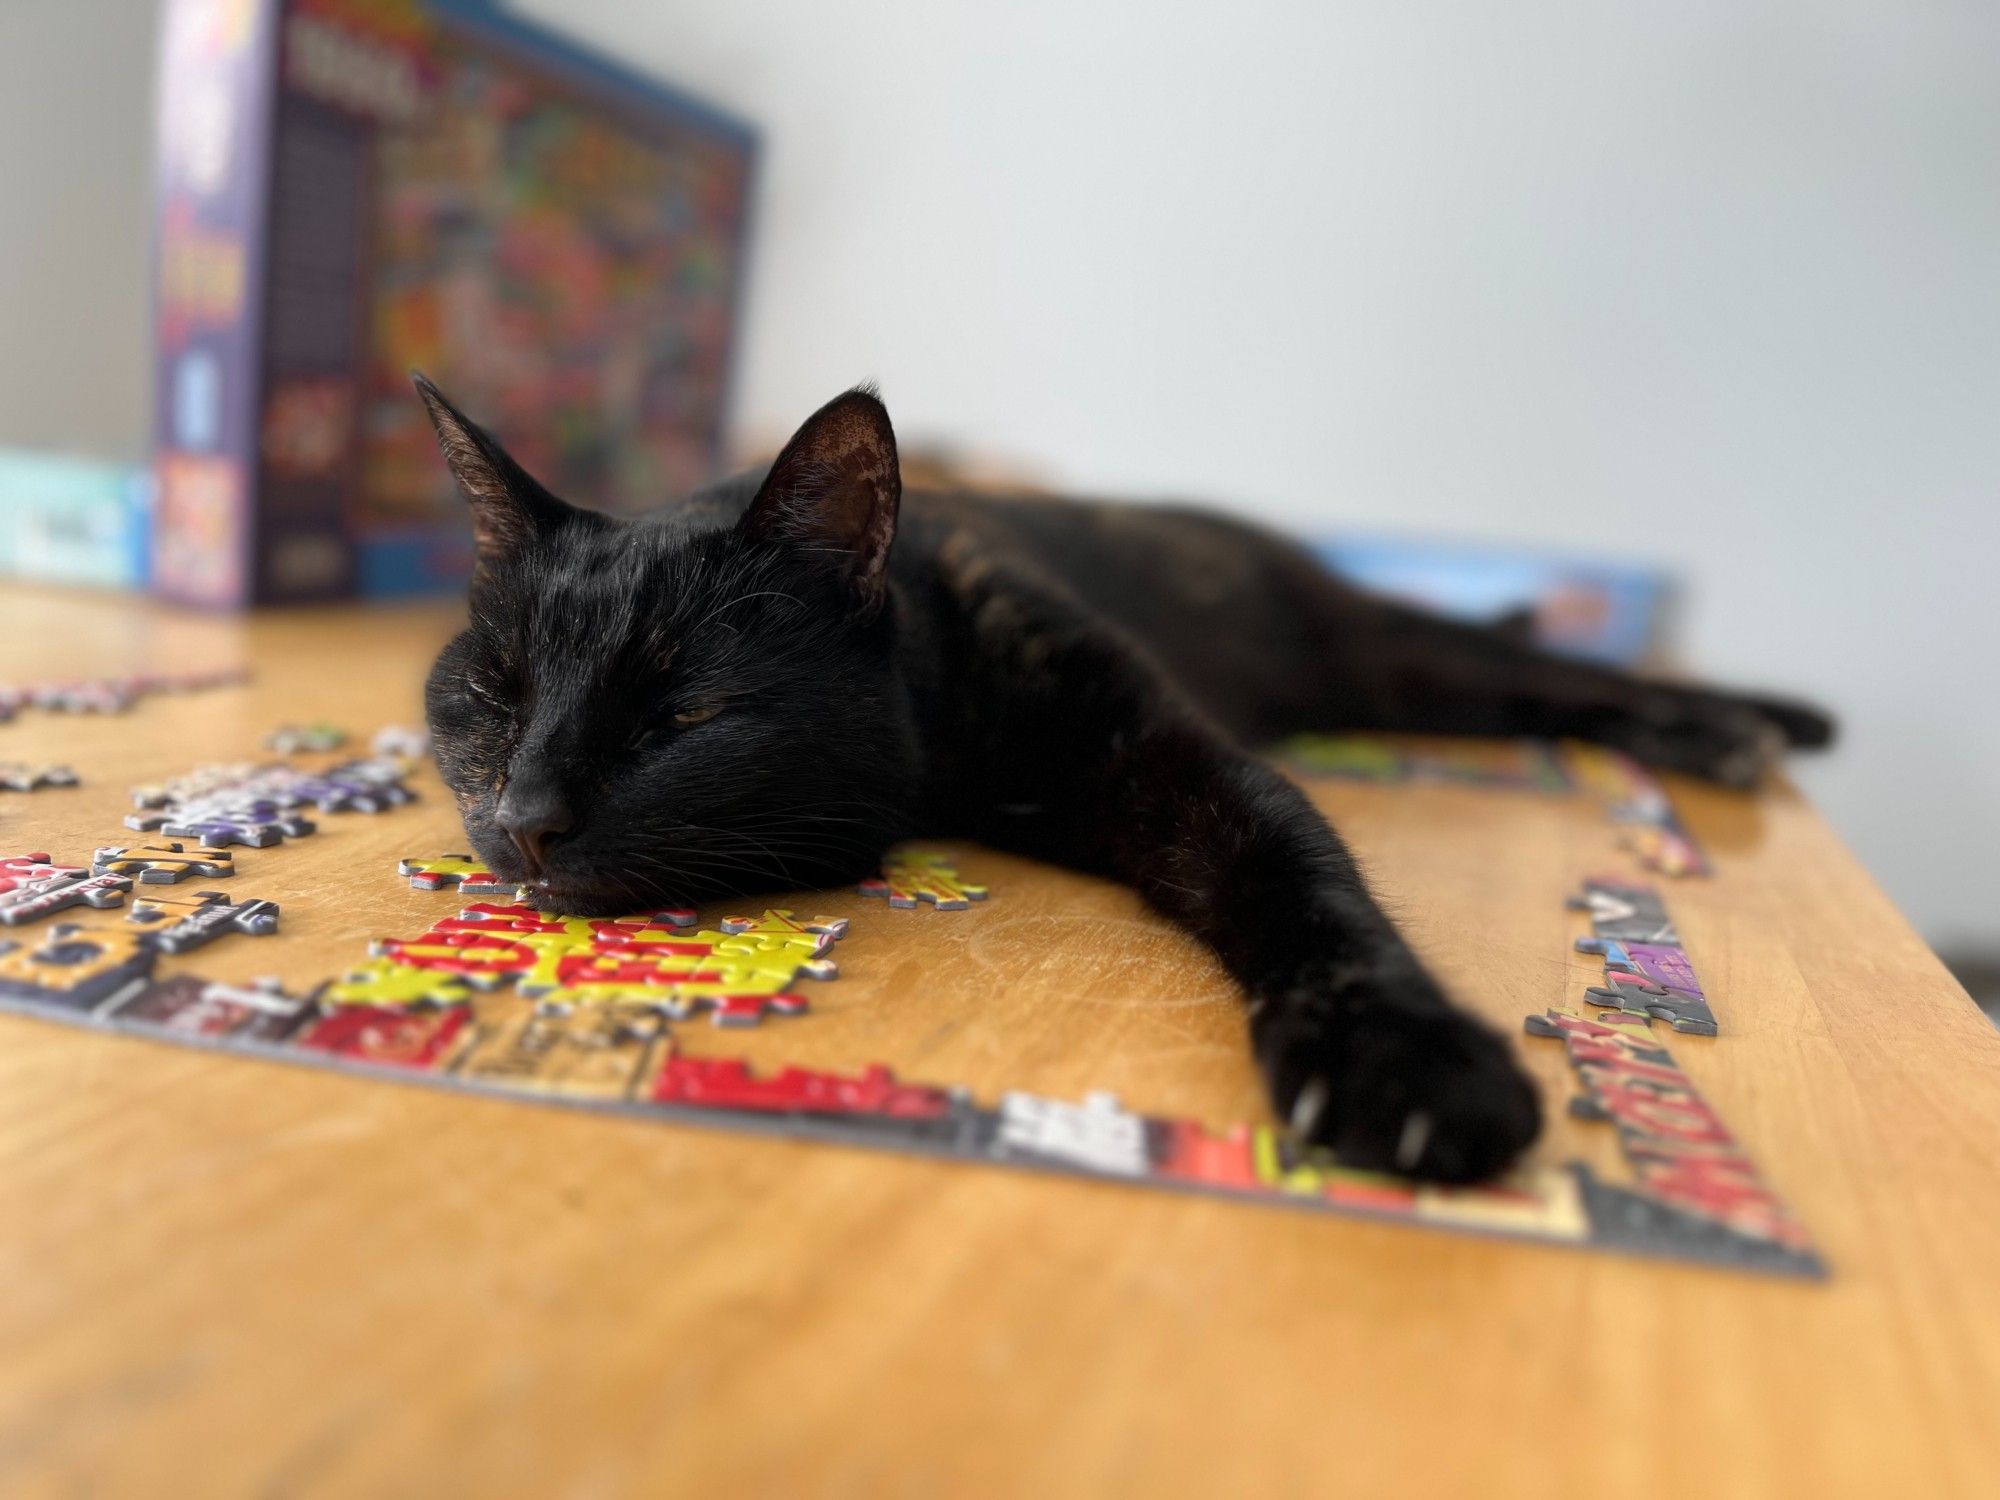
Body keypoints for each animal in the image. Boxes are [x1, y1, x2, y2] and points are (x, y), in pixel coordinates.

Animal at [418, 376, 1832, 1184]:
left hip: (1386, 655)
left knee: (1551, 666)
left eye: (685, 711)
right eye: (495, 697)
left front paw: (1404, 1062)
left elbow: (1297, 869)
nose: (529, 819)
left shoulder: (1168, 754)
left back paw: (1756, 722)